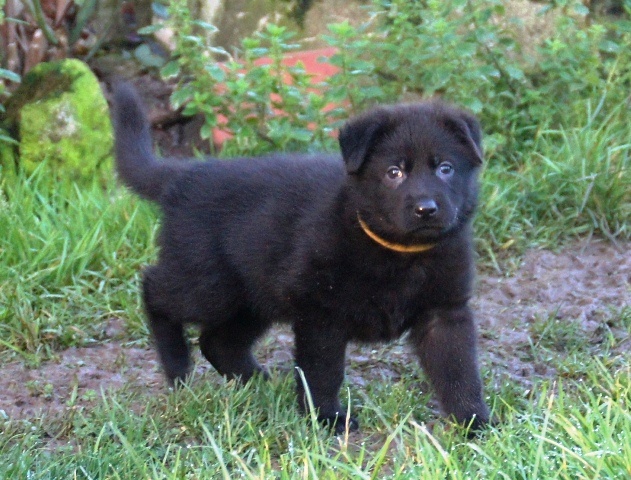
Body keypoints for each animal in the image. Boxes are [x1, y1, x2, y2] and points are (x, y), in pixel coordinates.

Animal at [111, 82, 491, 434]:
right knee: (154, 290)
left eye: (445, 169)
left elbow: (458, 371)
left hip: (252, 294)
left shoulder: (445, 311)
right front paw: (327, 417)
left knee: (217, 342)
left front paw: (474, 422)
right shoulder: (321, 313)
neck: (399, 252)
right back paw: (177, 367)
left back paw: (261, 383)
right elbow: (322, 371)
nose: (426, 209)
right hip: (208, 283)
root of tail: (183, 176)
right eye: (394, 172)